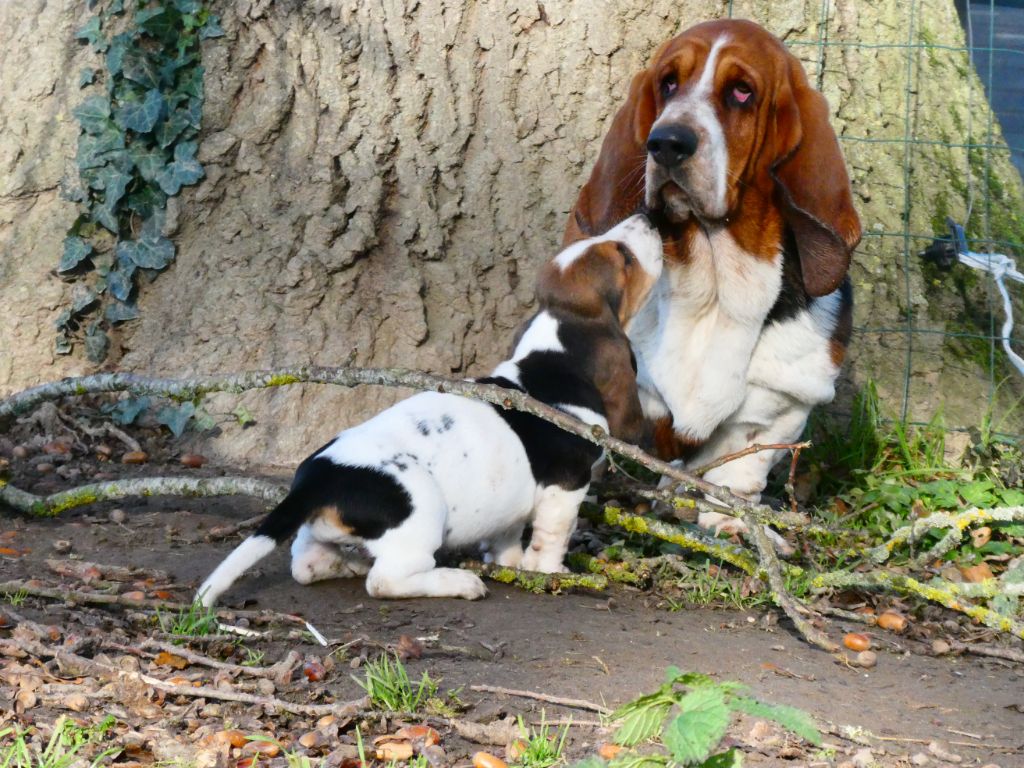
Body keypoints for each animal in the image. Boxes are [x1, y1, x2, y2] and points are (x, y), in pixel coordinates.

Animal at [197, 217, 663, 606]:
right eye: (624, 256)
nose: (648, 216)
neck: (554, 356)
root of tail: (319, 478)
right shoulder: (566, 486)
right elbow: (554, 535)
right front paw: (550, 572)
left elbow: (508, 534)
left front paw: (509, 563)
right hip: (422, 514)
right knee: (384, 581)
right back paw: (458, 582)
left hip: (323, 531)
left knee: (305, 562)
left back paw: (348, 562)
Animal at [565, 18, 860, 528]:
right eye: (667, 83)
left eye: (742, 92)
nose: (666, 142)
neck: (712, 280)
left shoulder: (780, 405)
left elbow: (738, 468)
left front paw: (729, 521)